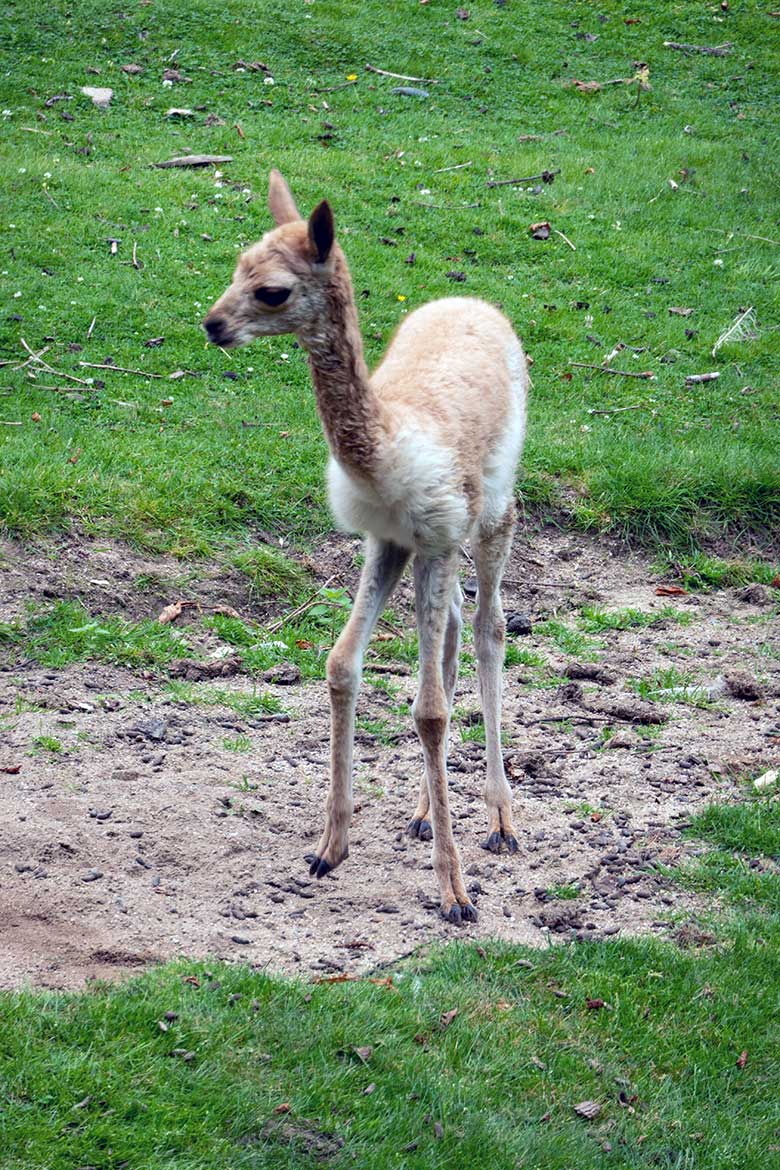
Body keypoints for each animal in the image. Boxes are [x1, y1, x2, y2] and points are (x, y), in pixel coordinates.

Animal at [204, 173, 528, 921]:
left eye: (273, 290)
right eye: (237, 265)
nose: (213, 324)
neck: (388, 444)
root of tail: (474, 303)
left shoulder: (437, 536)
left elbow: (430, 709)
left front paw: (455, 891)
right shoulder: (388, 541)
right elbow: (342, 667)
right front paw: (329, 847)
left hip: (493, 517)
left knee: (491, 627)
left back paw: (500, 818)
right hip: (432, 551)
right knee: (453, 633)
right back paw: (423, 811)